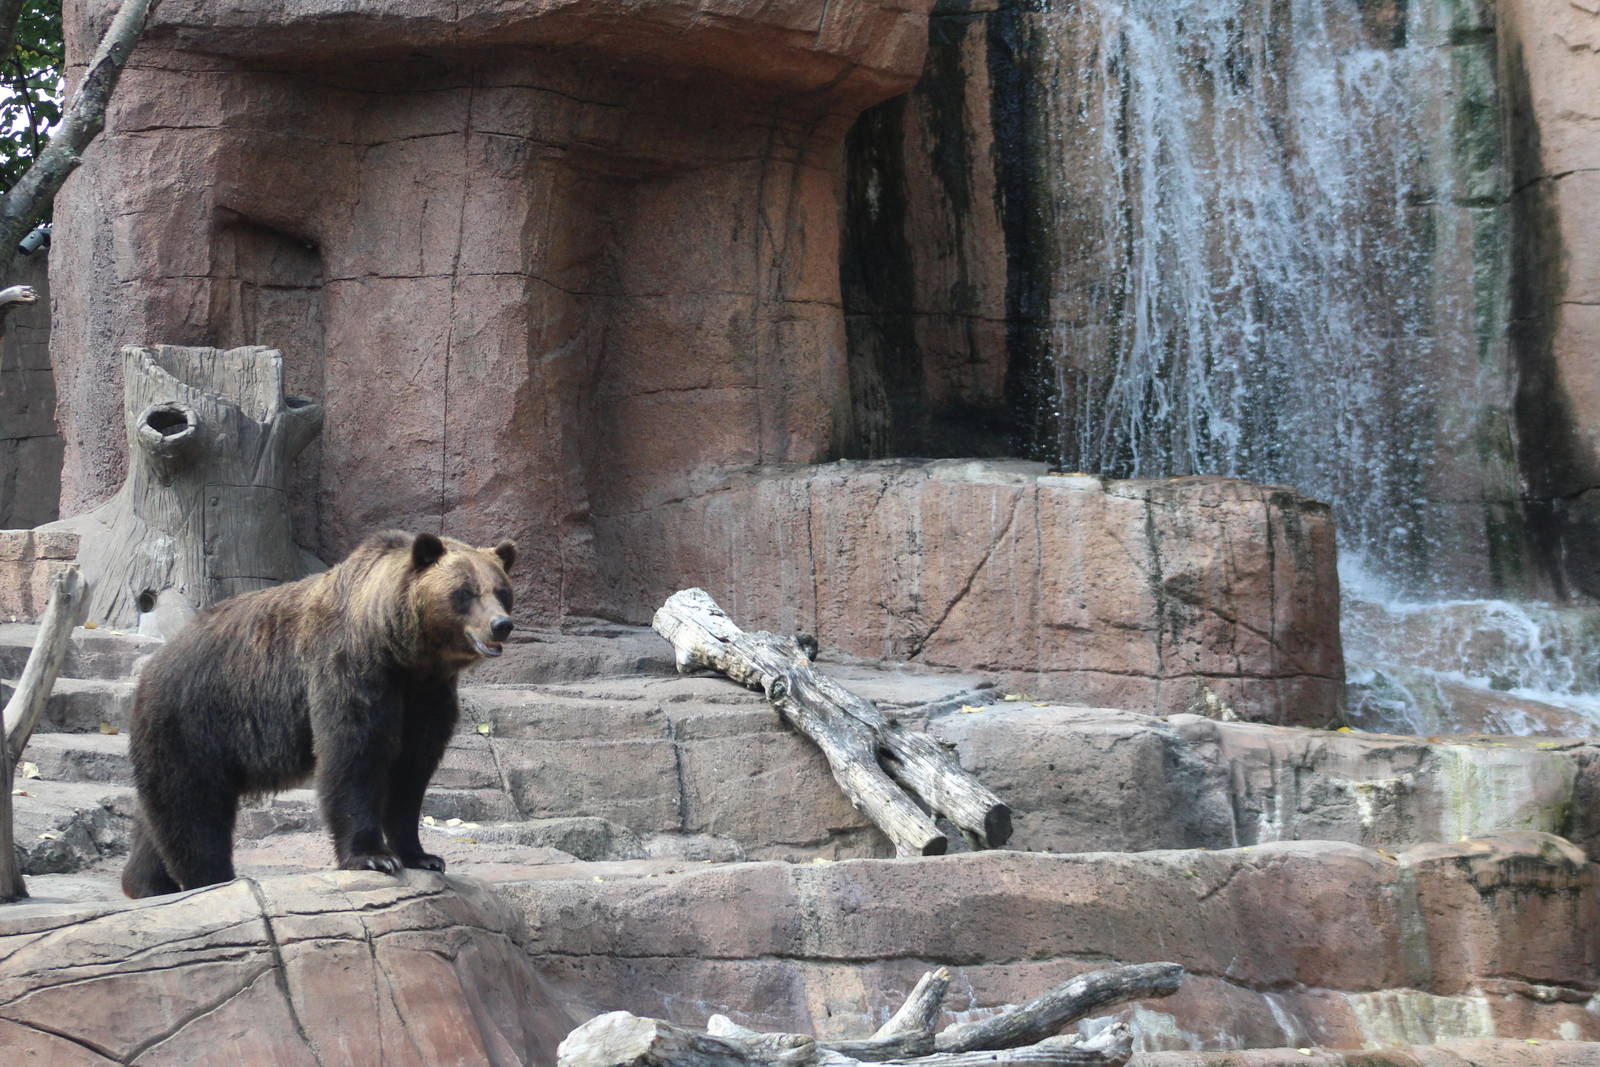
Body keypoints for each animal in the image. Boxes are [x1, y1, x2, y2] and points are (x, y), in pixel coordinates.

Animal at [120, 530, 515, 898]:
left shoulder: (427, 696)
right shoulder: (350, 669)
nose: (501, 624)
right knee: (192, 806)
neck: (399, 649)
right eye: (465, 592)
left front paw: (423, 856)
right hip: (192, 720)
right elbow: (355, 756)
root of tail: (152, 666)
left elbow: (412, 771)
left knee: (160, 812)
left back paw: (145, 883)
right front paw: (373, 857)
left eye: (501, 590)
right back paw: (211, 877)